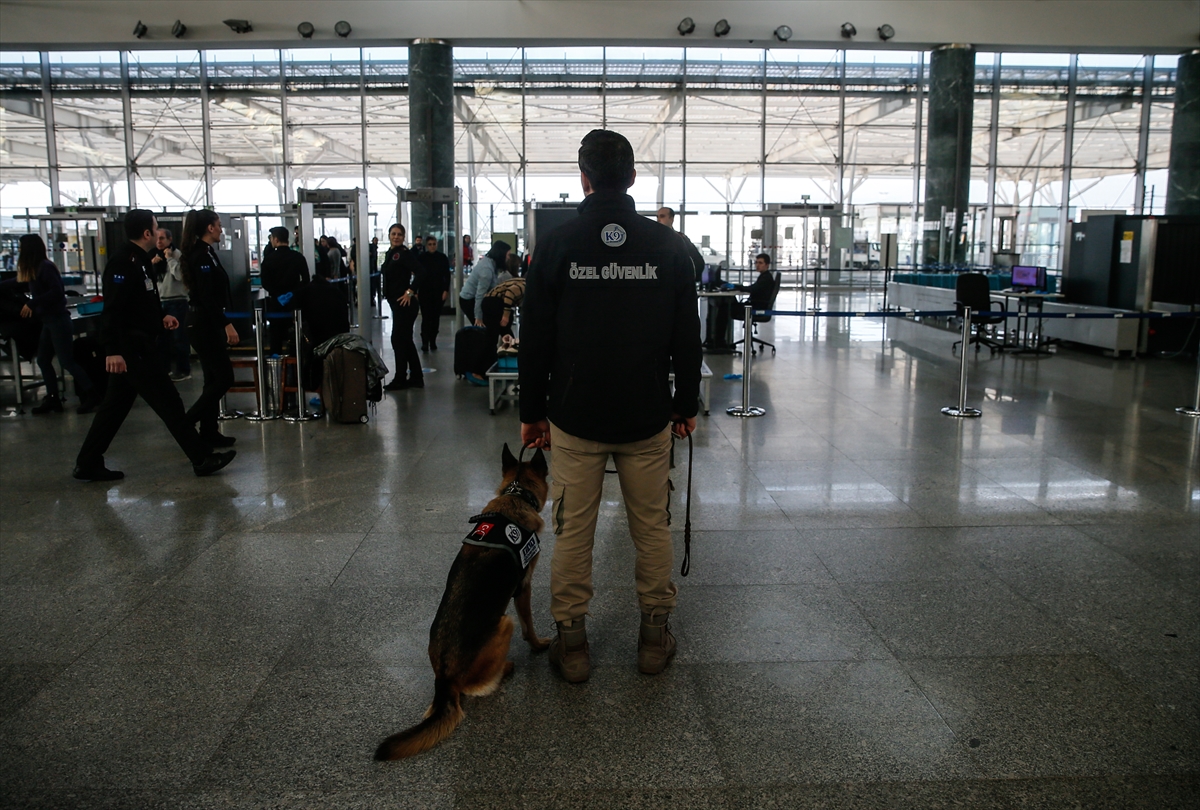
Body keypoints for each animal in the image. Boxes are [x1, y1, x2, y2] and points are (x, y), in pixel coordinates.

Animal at [374, 444, 552, 758]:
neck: (516, 494)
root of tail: (444, 680)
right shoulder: (524, 587)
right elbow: (529, 623)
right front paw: (538, 644)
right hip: (504, 624)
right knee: (480, 684)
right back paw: (505, 669)